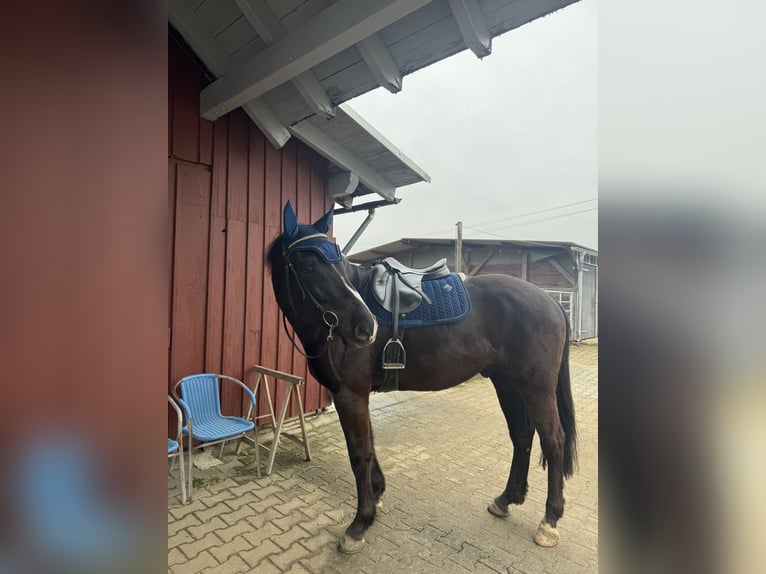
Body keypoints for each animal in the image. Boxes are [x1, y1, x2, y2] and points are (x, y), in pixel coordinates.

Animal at [266, 202, 577, 553]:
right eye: (308, 266)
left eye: (338, 262)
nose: (366, 327)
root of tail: (549, 299)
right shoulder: (357, 396)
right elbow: (371, 444)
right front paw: (378, 495)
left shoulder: (350, 394)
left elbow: (360, 453)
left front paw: (360, 523)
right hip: (507, 384)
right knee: (522, 435)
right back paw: (506, 499)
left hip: (537, 388)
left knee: (553, 441)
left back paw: (549, 521)